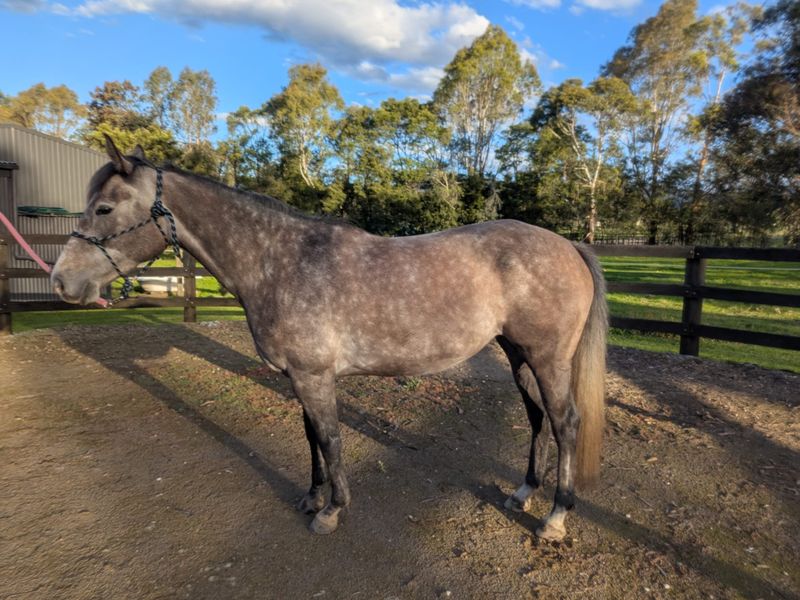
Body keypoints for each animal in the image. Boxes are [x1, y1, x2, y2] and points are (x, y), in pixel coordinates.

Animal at [51, 136, 607, 542]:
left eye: (104, 209)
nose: (61, 282)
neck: (282, 261)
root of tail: (569, 246)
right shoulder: (300, 375)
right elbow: (312, 438)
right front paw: (313, 498)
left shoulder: (315, 377)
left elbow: (332, 438)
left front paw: (332, 512)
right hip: (517, 354)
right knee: (537, 418)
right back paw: (523, 492)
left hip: (547, 358)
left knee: (565, 423)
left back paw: (554, 518)